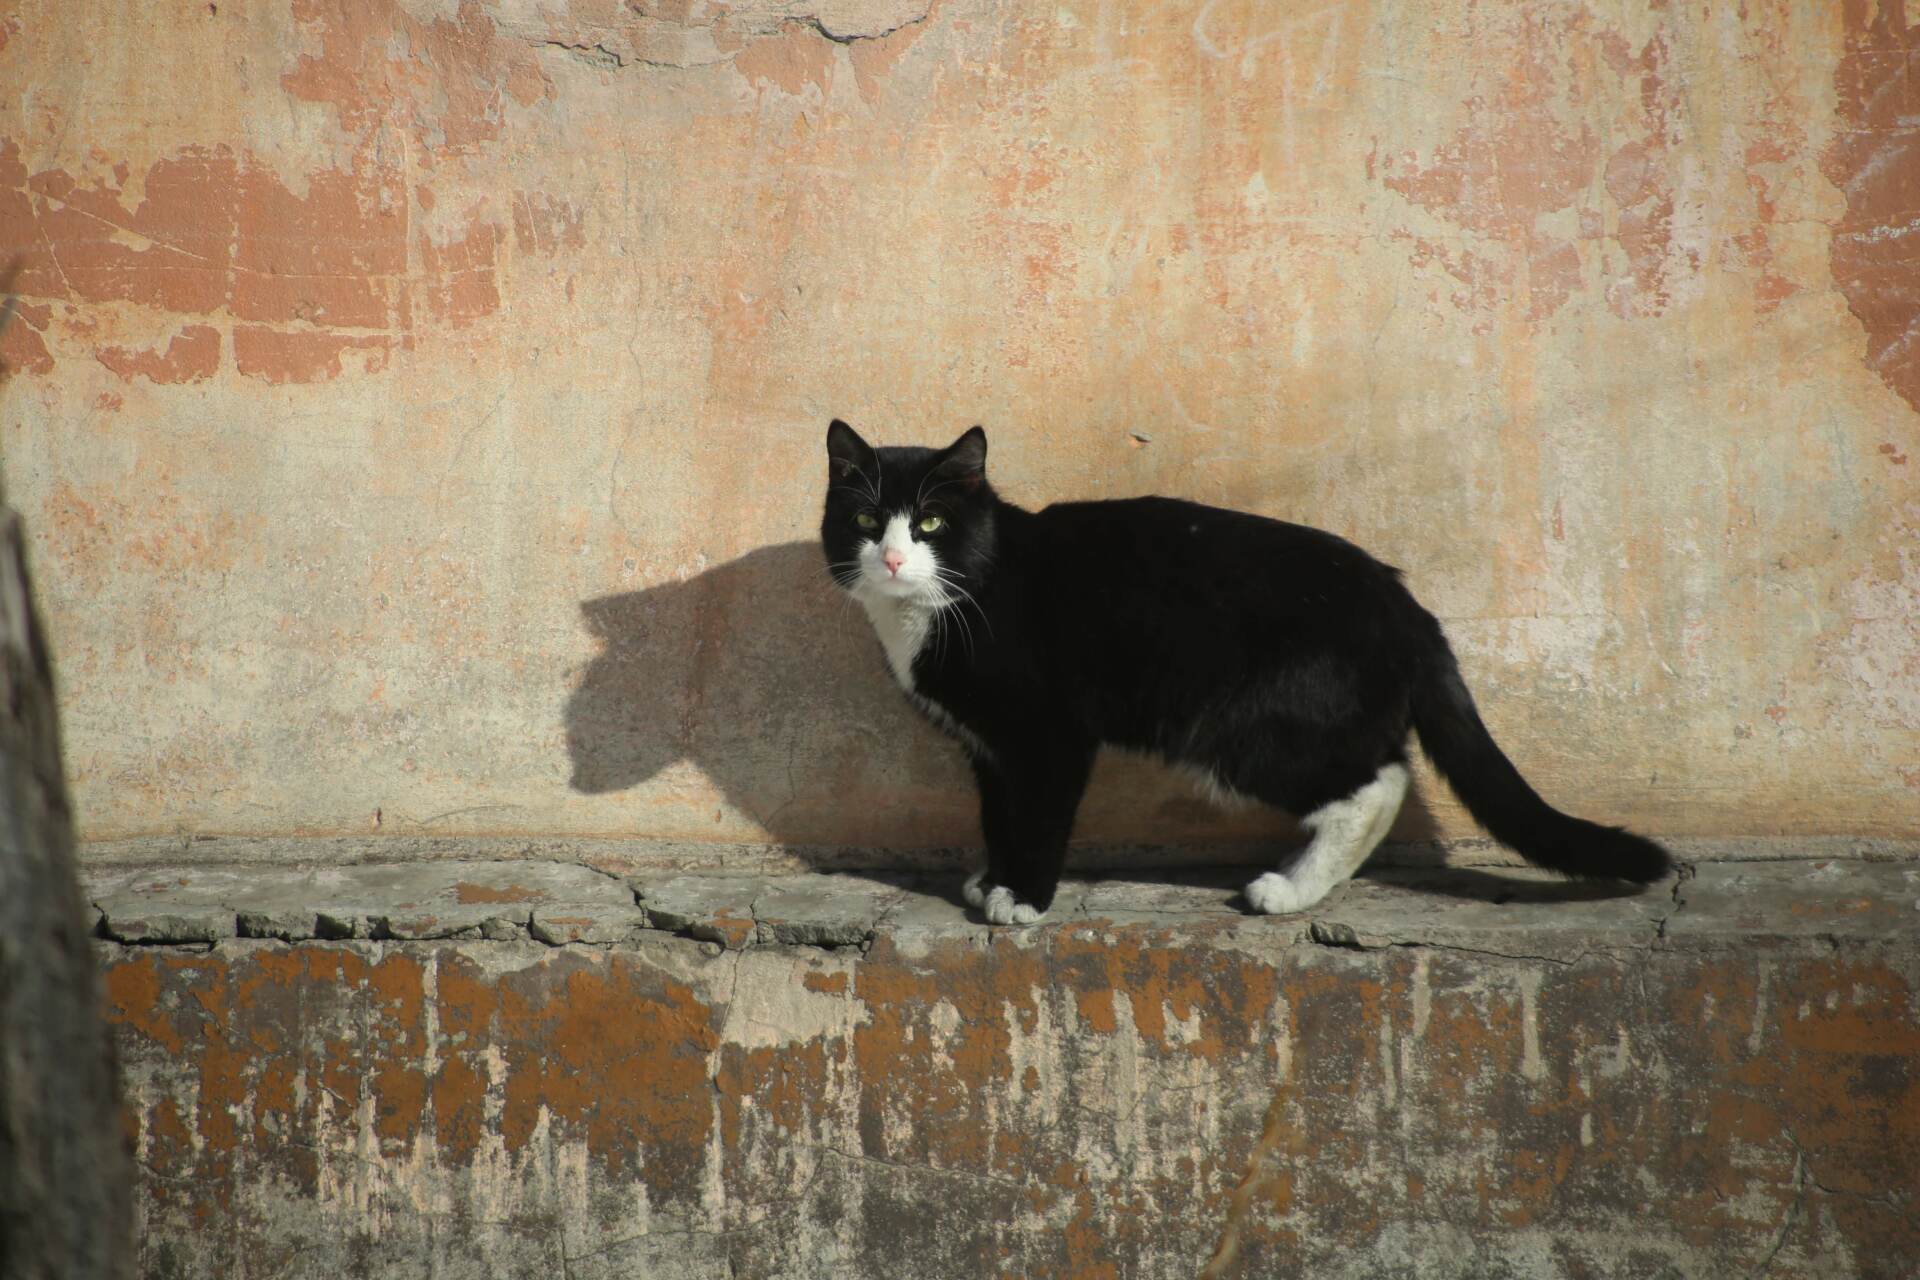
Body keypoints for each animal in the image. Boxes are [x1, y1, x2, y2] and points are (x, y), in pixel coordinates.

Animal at [820, 419, 1672, 925]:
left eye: (931, 523)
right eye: (864, 521)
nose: (891, 557)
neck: (962, 590)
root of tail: (1404, 605)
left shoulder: (1048, 736)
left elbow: (1039, 815)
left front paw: (1022, 899)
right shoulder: (990, 747)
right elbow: (999, 813)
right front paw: (990, 879)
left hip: (1241, 730)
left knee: (1378, 782)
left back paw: (1289, 890)